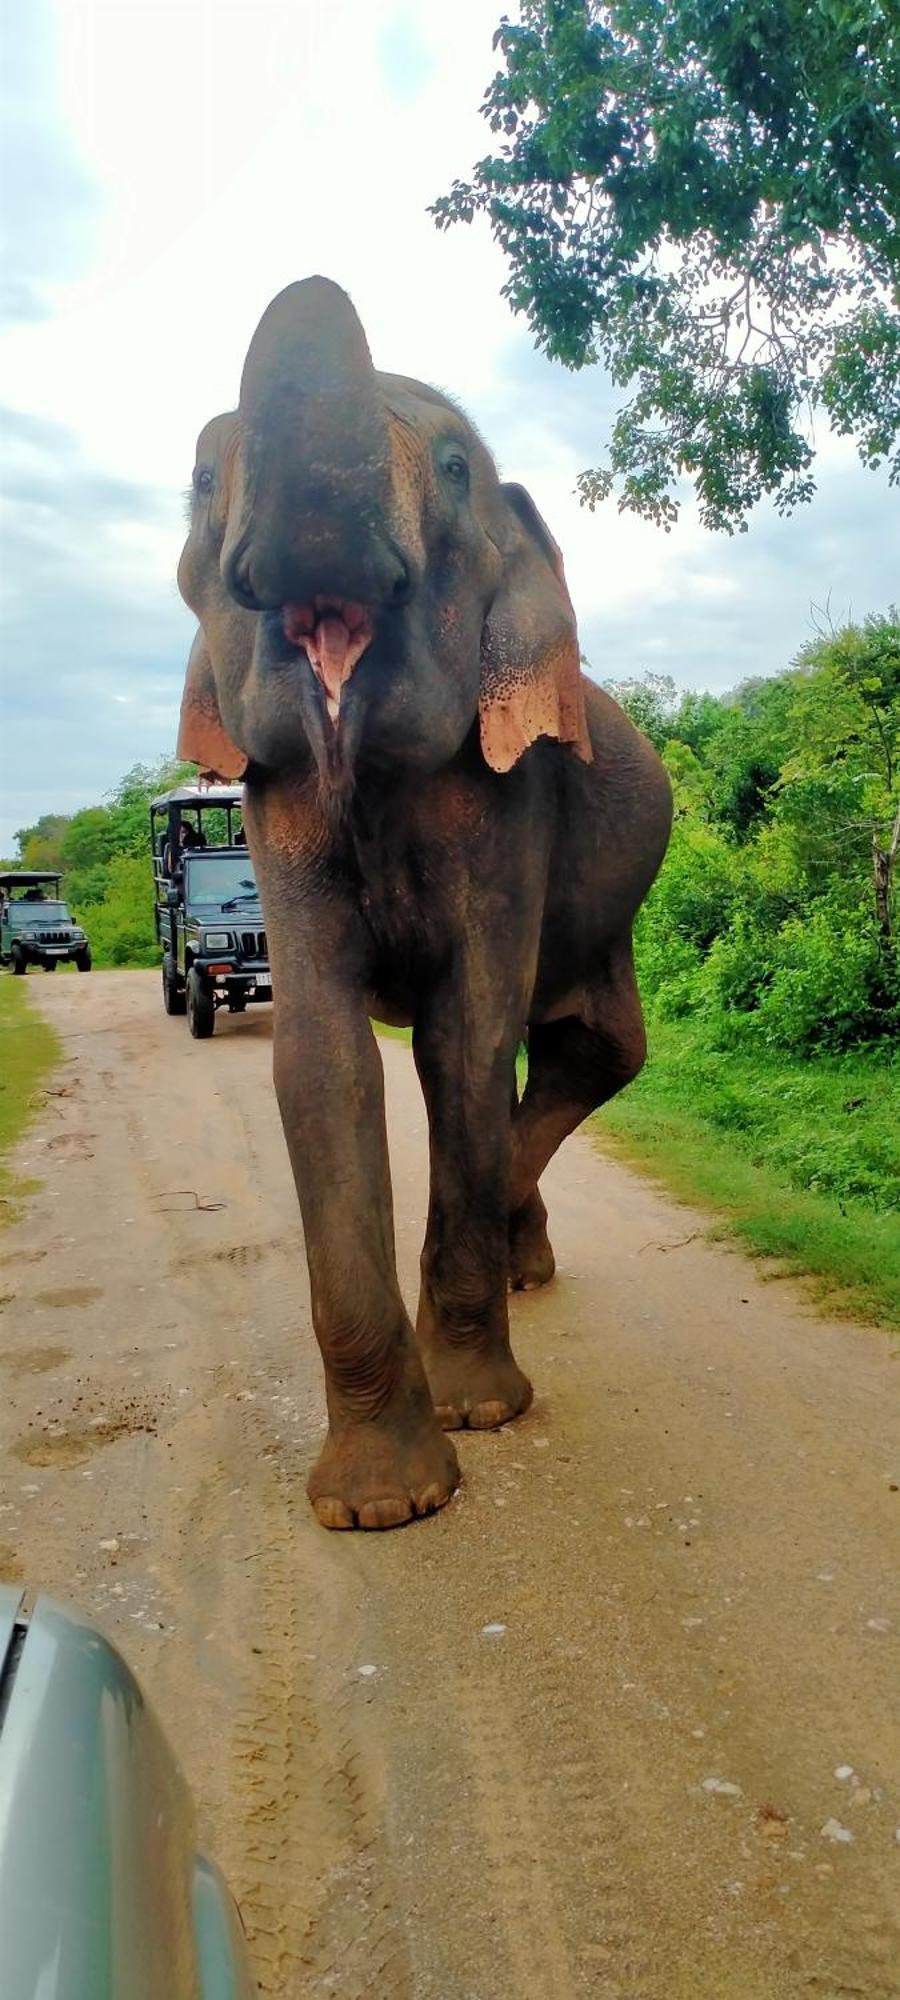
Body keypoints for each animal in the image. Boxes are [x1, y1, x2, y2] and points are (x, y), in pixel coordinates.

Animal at [176, 278, 672, 1528]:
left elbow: (464, 1039)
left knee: (594, 1049)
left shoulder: (513, 794)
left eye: (452, 469)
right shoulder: (275, 799)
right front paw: (378, 1506)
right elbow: (322, 1053)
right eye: (201, 480)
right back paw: (522, 1261)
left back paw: (517, 1262)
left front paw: (480, 1413)